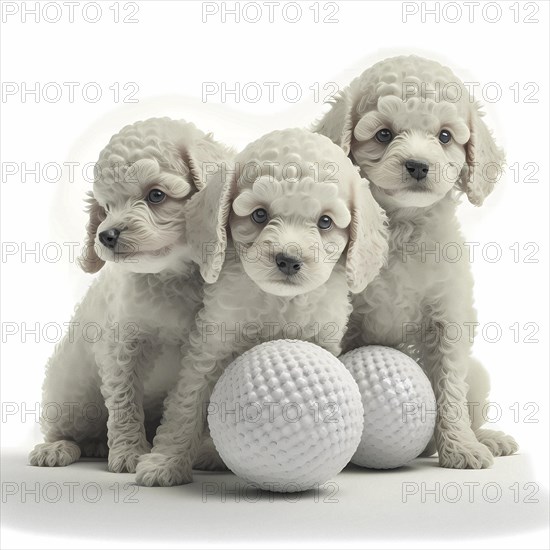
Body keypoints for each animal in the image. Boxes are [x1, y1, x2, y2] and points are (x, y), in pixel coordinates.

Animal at [28, 117, 233, 474]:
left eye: (156, 195)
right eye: (107, 207)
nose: (106, 235)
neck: (171, 275)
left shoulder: (209, 345)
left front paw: (208, 451)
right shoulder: (120, 345)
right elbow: (124, 400)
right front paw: (130, 454)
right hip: (68, 396)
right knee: (65, 428)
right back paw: (59, 448)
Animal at [136, 129, 390, 488]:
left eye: (325, 222)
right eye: (259, 215)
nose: (289, 259)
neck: (279, 300)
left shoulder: (321, 339)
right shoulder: (212, 343)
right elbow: (188, 403)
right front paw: (164, 463)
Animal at [316, 55, 520, 470]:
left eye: (444, 137)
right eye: (383, 134)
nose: (418, 166)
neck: (402, 226)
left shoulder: (448, 314)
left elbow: (449, 387)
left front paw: (460, 449)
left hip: (479, 376)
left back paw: (486, 439)